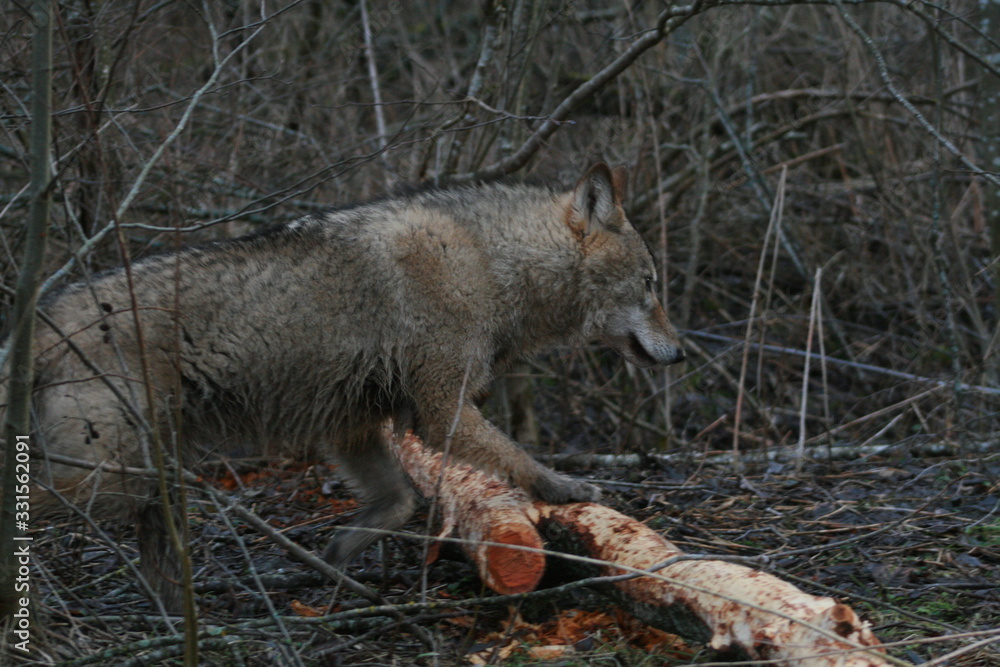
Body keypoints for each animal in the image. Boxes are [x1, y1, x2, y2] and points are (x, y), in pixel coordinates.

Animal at [1, 163, 684, 610]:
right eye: (650, 285)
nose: (680, 354)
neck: (491, 262)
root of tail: (40, 319)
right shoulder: (441, 409)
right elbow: (519, 460)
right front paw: (567, 488)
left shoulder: (354, 425)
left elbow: (401, 502)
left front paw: (336, 559)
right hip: (108, 480)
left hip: (155, 479)